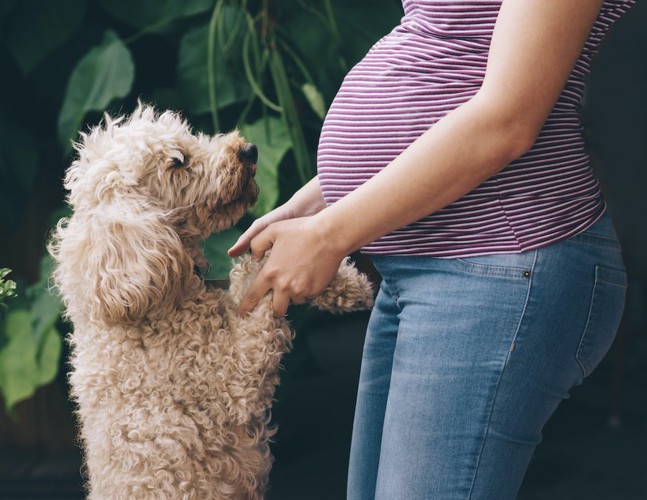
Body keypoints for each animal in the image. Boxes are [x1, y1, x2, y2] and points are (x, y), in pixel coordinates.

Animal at [49, 103, 374, 498]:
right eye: (177, 161)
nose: (249, 150)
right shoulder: (231, 378)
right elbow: (261, 275)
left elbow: (251, 270)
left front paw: (347, 284)